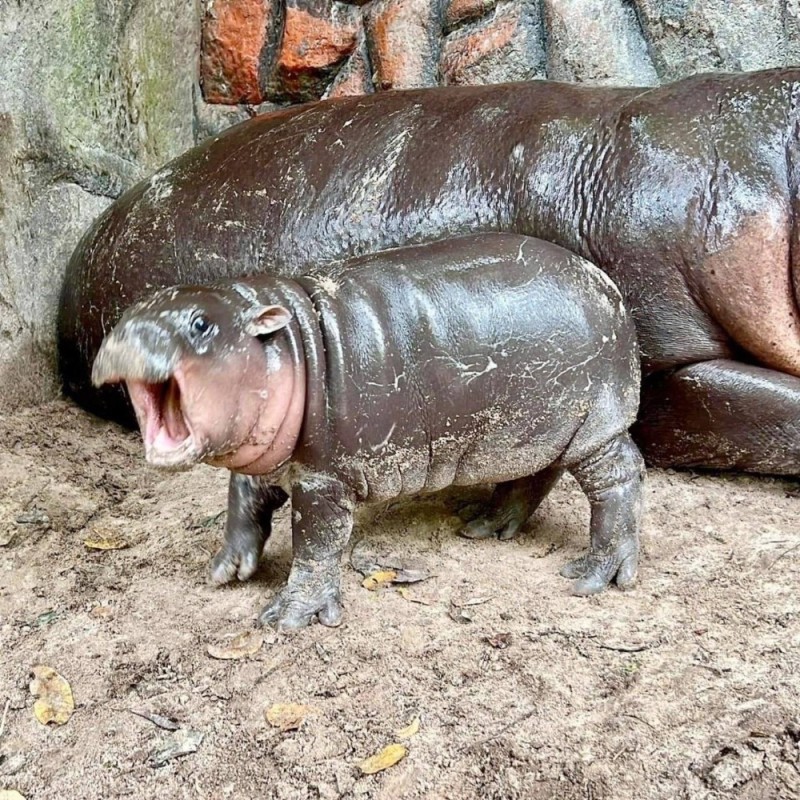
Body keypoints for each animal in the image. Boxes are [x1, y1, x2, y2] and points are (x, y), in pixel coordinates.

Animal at [92, 234, 644, 628]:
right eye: (127, 313)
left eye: (201, 324)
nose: (126, 336)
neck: (292, 346)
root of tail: (609, 286)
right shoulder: (267, 456)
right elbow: (243, 502)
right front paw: (227, 568)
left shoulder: (322, 479)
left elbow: (317, 543)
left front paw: (287, 618)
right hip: (529, 432)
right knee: (535, 475)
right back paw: (483, 523)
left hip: (595, 427)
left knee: (620, 478)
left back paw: (594, 576)